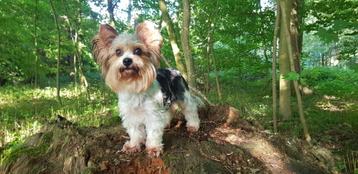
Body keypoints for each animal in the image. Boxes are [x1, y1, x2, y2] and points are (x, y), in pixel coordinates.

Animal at [91, 21, 200, 157]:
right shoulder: (131, 115)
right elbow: (134, 132)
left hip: (183, 95)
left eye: (138, 50)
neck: (134, 84)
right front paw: (133, 145)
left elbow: (153, 132)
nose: (127, 60)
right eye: (118, 52)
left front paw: (153, 148)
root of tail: (175, 71)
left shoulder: (152, 113)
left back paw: (193, 125)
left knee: (191, 109)